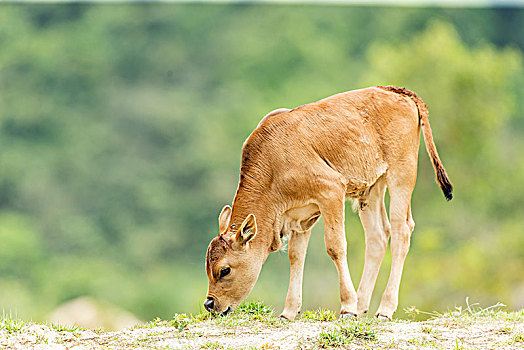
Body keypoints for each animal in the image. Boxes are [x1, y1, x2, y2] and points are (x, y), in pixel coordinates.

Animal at [204, 85, 450, 320]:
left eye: (224, 270)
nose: (209, 304)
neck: (274, 164)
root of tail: (397, 92)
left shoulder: (331, 191)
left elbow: (335, 246)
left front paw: (347, 308)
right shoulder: (300, 217)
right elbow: (296, 255)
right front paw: (289, 312)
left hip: (401, 174)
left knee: (401, 230)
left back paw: (384, 310)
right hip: (371, 189)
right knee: (378, 236)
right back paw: (362, 306)